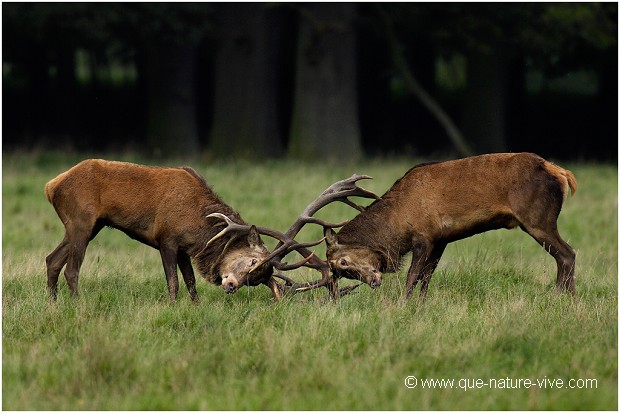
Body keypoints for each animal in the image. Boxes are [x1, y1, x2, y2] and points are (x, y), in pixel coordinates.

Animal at [324, 153, 576, 300]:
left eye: (343, 262)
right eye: (340, 272)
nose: (373, 283)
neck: (398, 220)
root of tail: (561, 172)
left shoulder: (424, 235)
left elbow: (412, 277)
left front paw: (401, 306)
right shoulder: (441, 239)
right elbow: (426, 278)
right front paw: (420, 307)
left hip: (537, 219)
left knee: (567, 254)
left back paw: (559, 298)